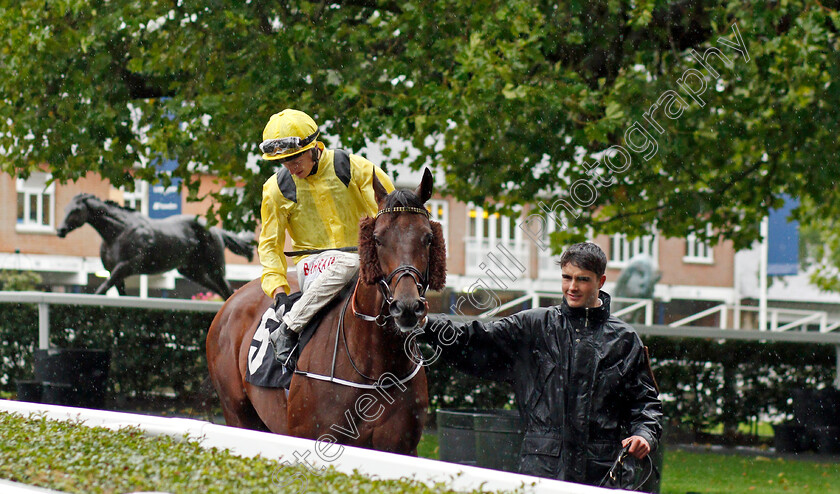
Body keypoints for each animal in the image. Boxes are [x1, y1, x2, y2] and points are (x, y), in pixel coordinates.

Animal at [56, 193, 254, 298]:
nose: (60, 230)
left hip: (215, 268)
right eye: (65, 209)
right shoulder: (115, 272)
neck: (118, 232)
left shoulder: (126, 266)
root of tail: (216, 229)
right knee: (221, 291)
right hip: (193, 272)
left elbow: (102, 289)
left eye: (76, 210)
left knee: (227, 289)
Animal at [205, 168, 446, 454]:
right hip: (237, 413)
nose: (407, 306)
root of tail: (231, 300)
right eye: (378, 238)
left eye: (428, 237)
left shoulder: (403, 447)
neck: (375, 369)